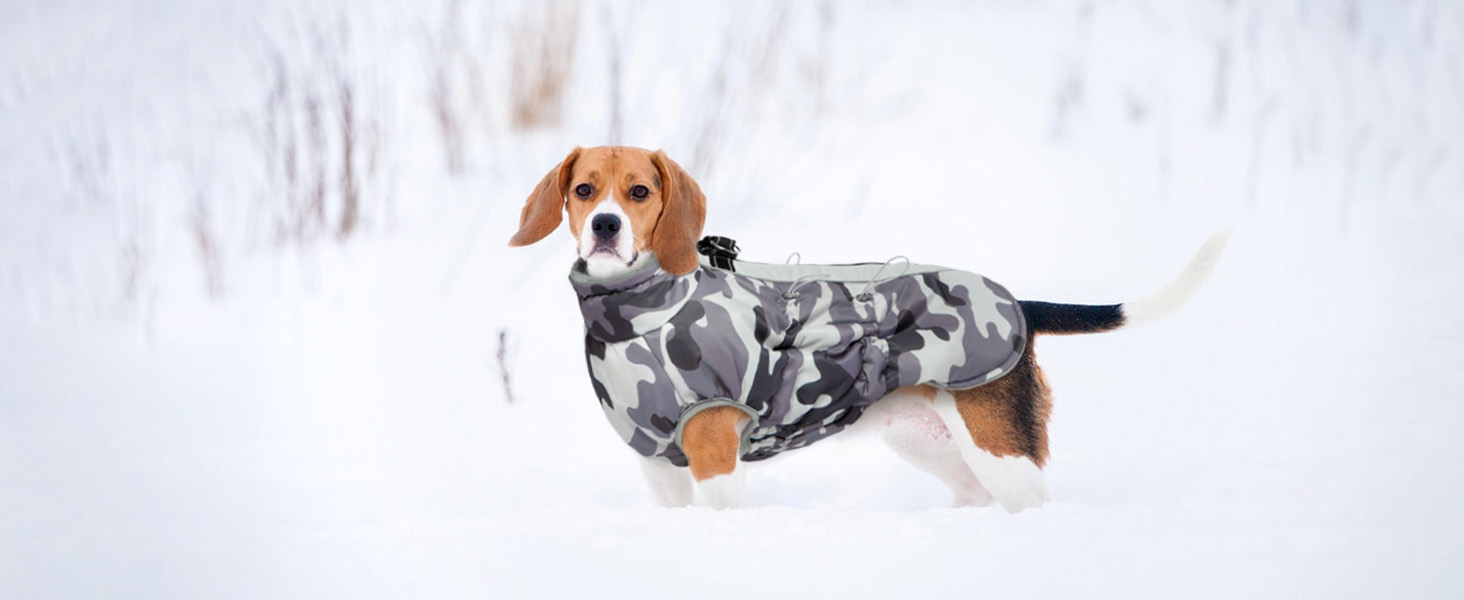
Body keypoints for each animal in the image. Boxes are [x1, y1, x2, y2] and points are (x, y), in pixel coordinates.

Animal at [509, 145, 1229, 512]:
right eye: (583, 189)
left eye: (639, 191)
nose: (605, 225)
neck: (645, 309)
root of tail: (1019, 306)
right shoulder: (659, 466)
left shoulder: (714, 457)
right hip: (932, 445)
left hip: (1003, 455)